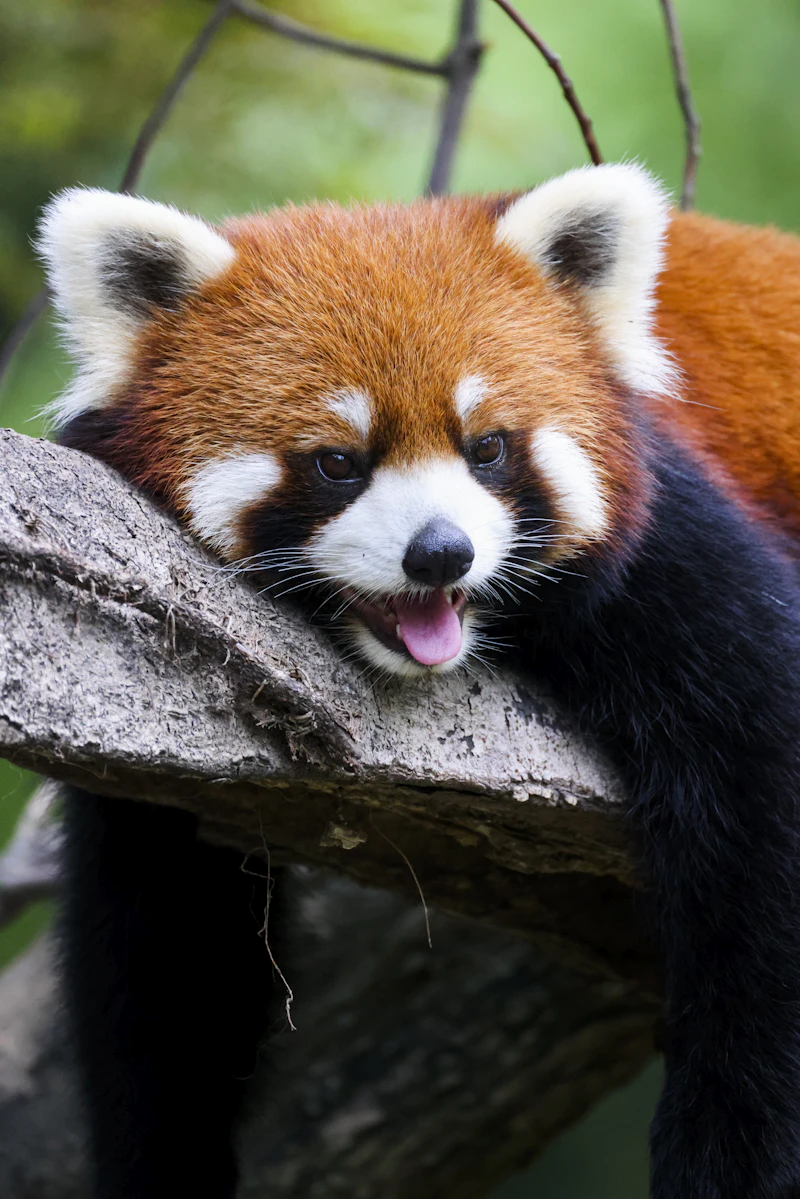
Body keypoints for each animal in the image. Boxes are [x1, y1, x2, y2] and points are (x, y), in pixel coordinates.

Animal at [37, 163, 800, 1199]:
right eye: (338, 461)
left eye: (487, 447)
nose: (440, 553)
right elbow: (162, 939)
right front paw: (164, 1164)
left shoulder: (675, 545)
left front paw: (729, 1153)